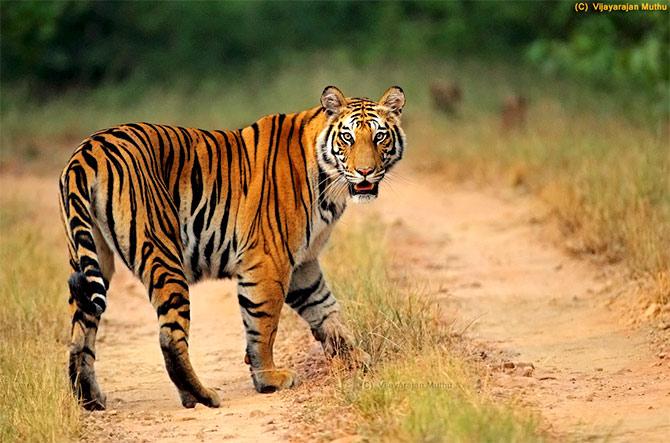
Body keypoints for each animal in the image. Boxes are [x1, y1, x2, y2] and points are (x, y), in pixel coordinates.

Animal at [61, 85, 410, 412]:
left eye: (379, 136)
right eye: (348, 137)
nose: (364, 172)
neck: (329, 184)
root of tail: (88, 151)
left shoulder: (303, 264)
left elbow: (326, 311)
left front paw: (355, 358)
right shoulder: (269, 260)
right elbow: (264, 326)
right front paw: (269, 379)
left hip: (92, 257)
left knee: (82, 331)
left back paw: (90, 399)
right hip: (162, 252)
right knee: (169, 336)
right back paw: (201, 396)